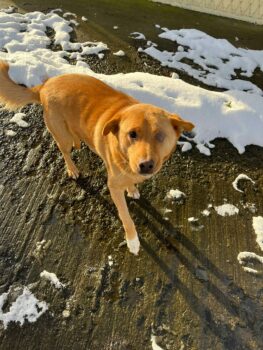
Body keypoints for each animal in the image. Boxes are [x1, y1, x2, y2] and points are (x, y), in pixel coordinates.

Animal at [0, 60, 194, 254]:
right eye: (132, 134)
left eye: (160, 135)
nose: (146, 165)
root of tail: (45, 85)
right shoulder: (114, 187)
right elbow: (126, 217)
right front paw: (133, 241)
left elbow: (130, 183)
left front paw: (132, 189)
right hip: (61, 136)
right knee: (65, 152)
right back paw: (72, 169)